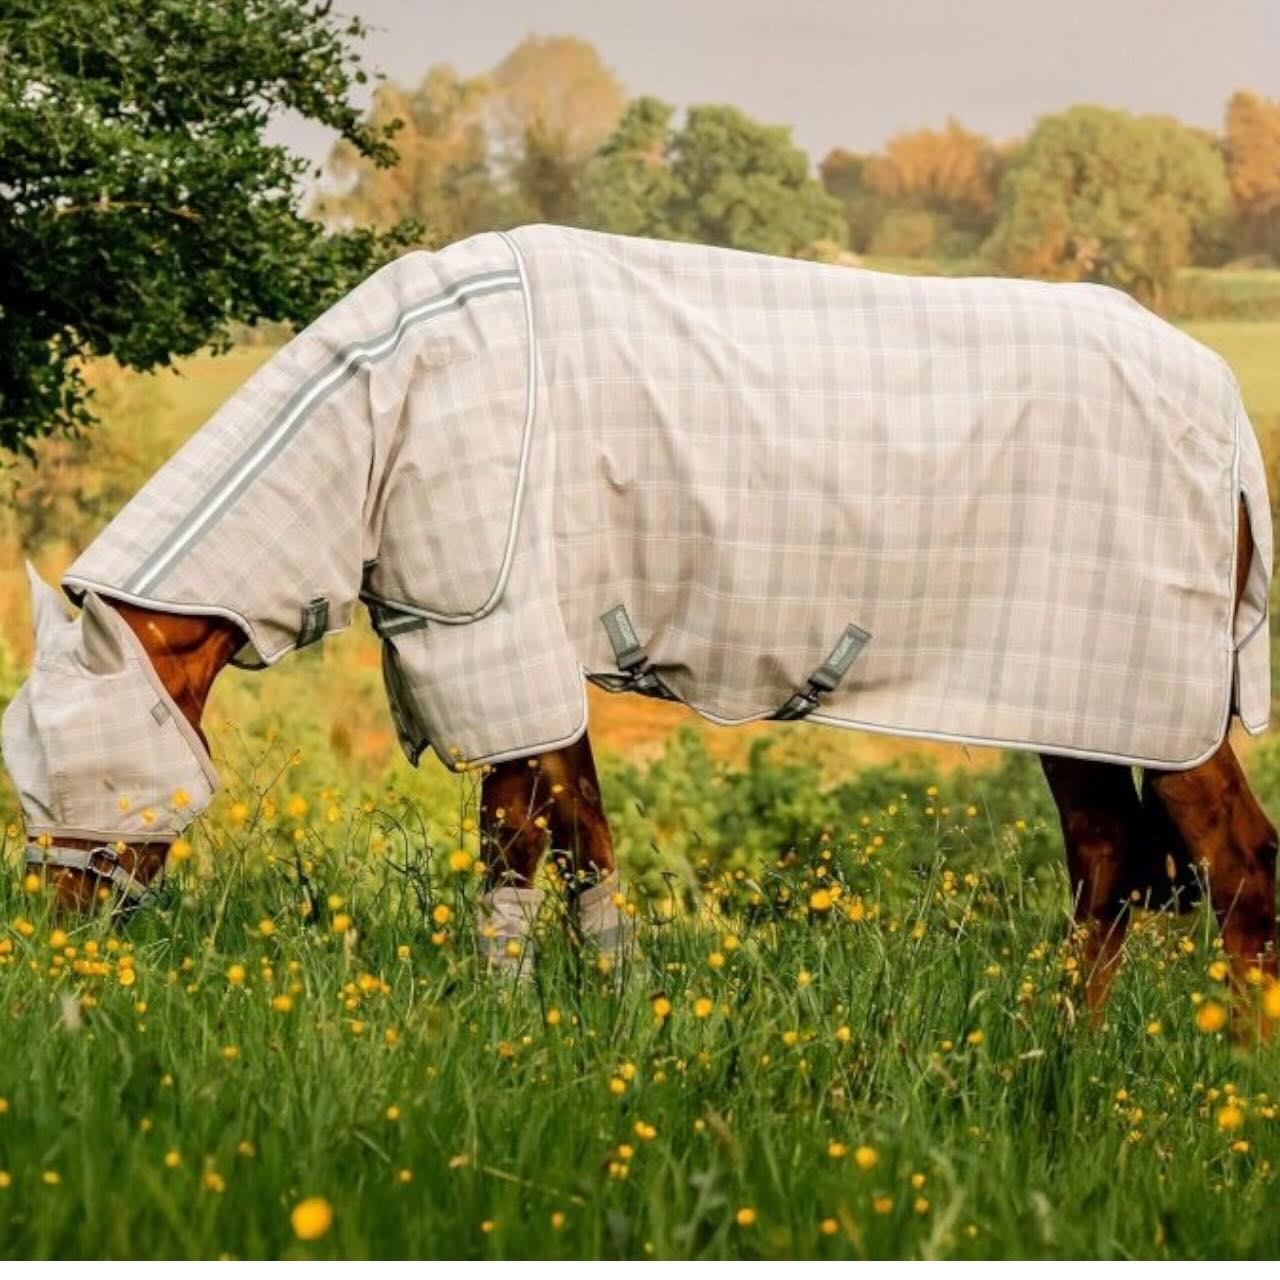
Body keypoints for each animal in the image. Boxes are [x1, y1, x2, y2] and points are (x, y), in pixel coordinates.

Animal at [3, 223, 1275, 1008]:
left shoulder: (494, 637)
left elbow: (512, 849)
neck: (391, 409)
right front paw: (616, 1019)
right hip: (1084, 702)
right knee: (1108, 866)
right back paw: (1050, 1064)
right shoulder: (542, 655)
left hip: (1154, 699)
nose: (55, 948)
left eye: (74, 769)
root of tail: (1223, 413)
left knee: (1233, 865)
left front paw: (499, 1024)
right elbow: (586, 849)